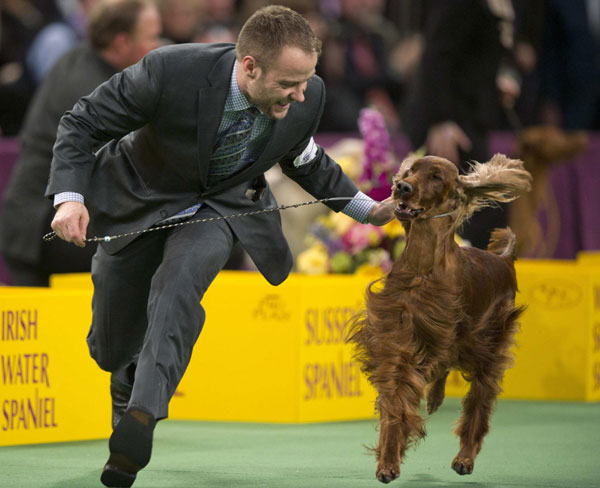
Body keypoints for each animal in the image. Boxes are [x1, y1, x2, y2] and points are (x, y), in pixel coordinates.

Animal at [350, 154, 532, 482]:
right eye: (410, 170)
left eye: (436, 177)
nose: (402, 186)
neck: (422, 268)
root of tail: (503, 260)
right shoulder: (397, 337)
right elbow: (395, 400)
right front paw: (388, 461)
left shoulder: (434, 333)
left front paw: (390, 460)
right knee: (446, 365)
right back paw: (434, 400)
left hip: (486, 345)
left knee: (478, 403)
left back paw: (465, 458)